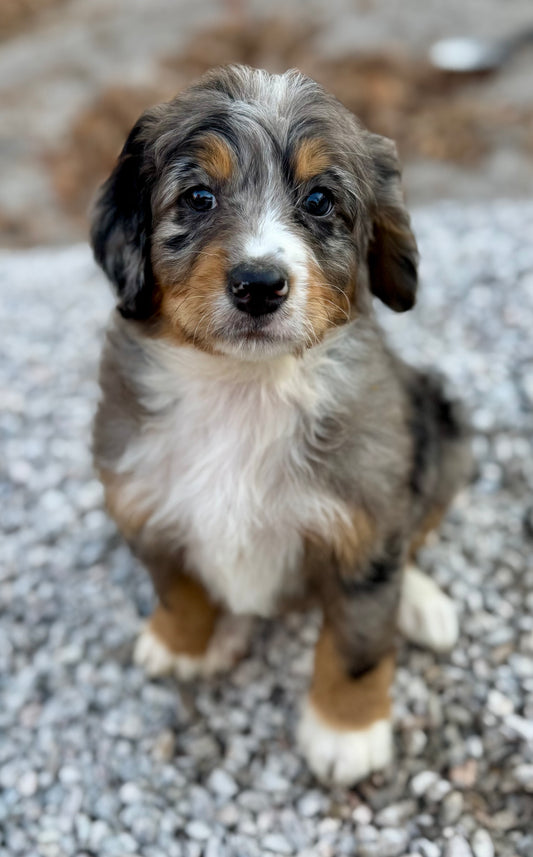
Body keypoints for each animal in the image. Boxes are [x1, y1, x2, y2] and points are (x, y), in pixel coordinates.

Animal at [91, 67, 470, 784]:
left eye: (320, 200)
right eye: (199, 197)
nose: (259, 284)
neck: (245, 388)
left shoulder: (364, 526)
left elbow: (356, 640)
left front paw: (346, 732)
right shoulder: (141, 499)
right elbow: (178, 587)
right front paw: (182, 642)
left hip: (442, 429)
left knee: (415, 536)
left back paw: (420, 602)